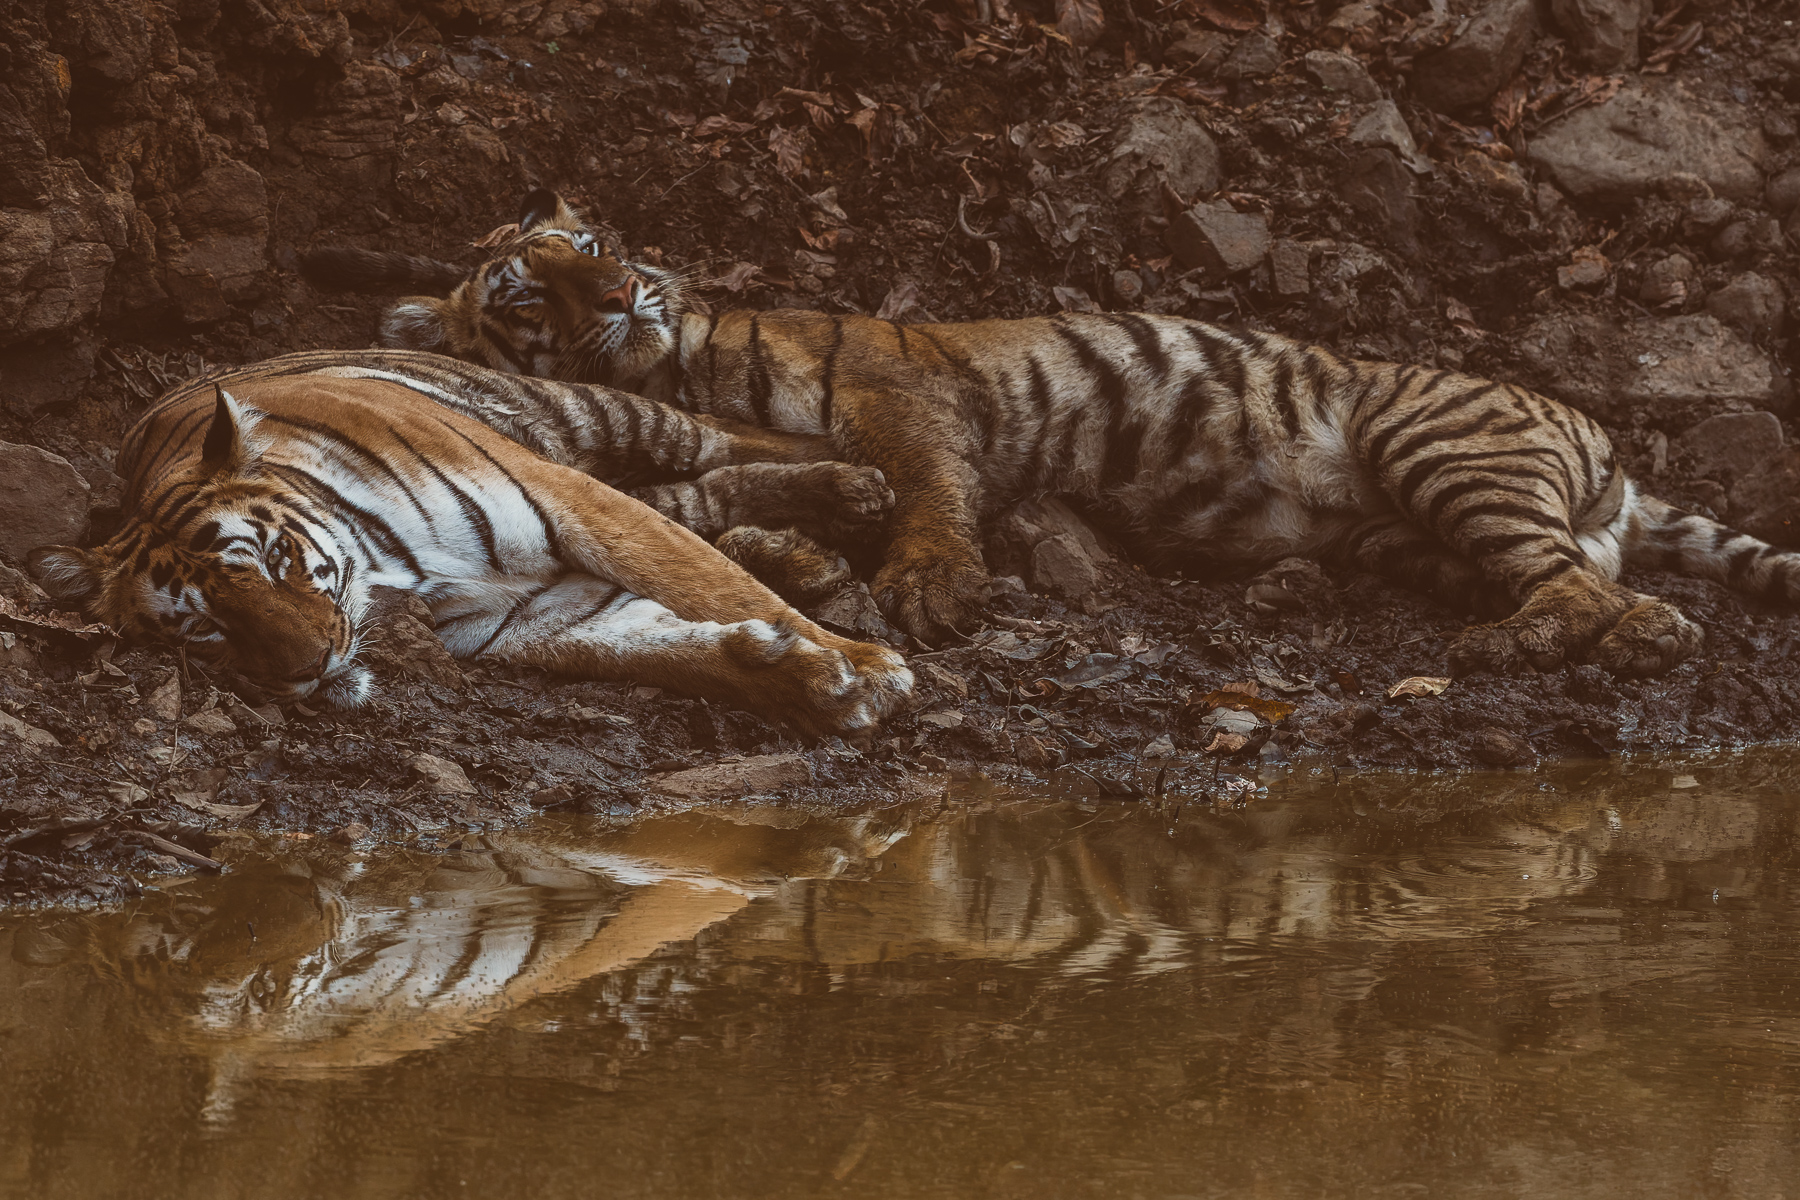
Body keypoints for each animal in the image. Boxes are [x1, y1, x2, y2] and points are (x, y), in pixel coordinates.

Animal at [25, 351, 913, 735]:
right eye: (206, 628)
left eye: (276, 562)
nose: (310, 666)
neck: (393, 575)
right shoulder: (535, 617)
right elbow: (672, 651)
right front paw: (808, 685)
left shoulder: (570, 499)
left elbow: (710, 582)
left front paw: (869, 666)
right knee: (702, 491)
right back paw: (836, 515)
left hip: (588, 411)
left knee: (710, 435)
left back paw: (854, 471)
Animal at [304, 188, 1800, 676]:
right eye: (535, 293)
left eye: (600, 250)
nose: (626, 298)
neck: (689, 362)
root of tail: (1605, 440)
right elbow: (736, 518)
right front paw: (819, 566)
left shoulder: (905, 400)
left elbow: (922, 490)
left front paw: (923, 584)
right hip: (1420, 523)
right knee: (1597, 579)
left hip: (1447, 453)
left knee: (1586, 585)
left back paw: (1544, 646)